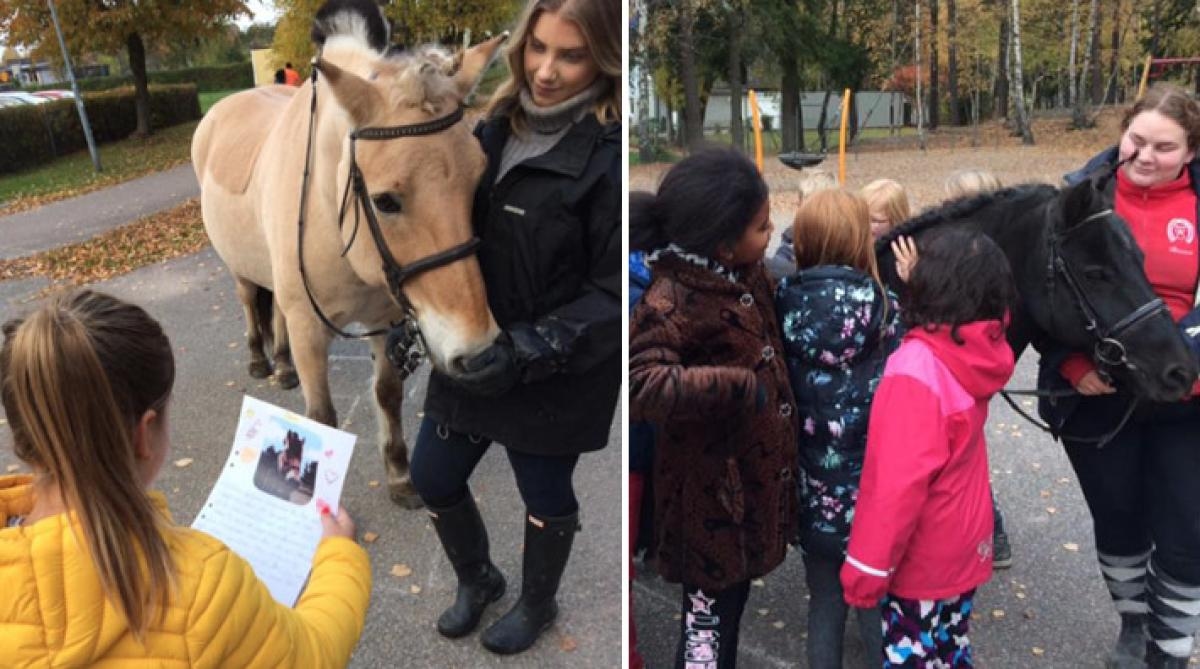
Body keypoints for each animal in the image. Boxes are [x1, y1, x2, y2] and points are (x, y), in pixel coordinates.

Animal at [194, 27, 504, 508]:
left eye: (477, 183)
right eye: (385, 201)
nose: (479, 352)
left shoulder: (386, 320)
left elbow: (388, 394)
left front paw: (399, 475)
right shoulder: (308, 328)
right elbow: (320, 418)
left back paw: (282, 365)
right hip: (240, 269)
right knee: (249, 300)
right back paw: (260, 360)